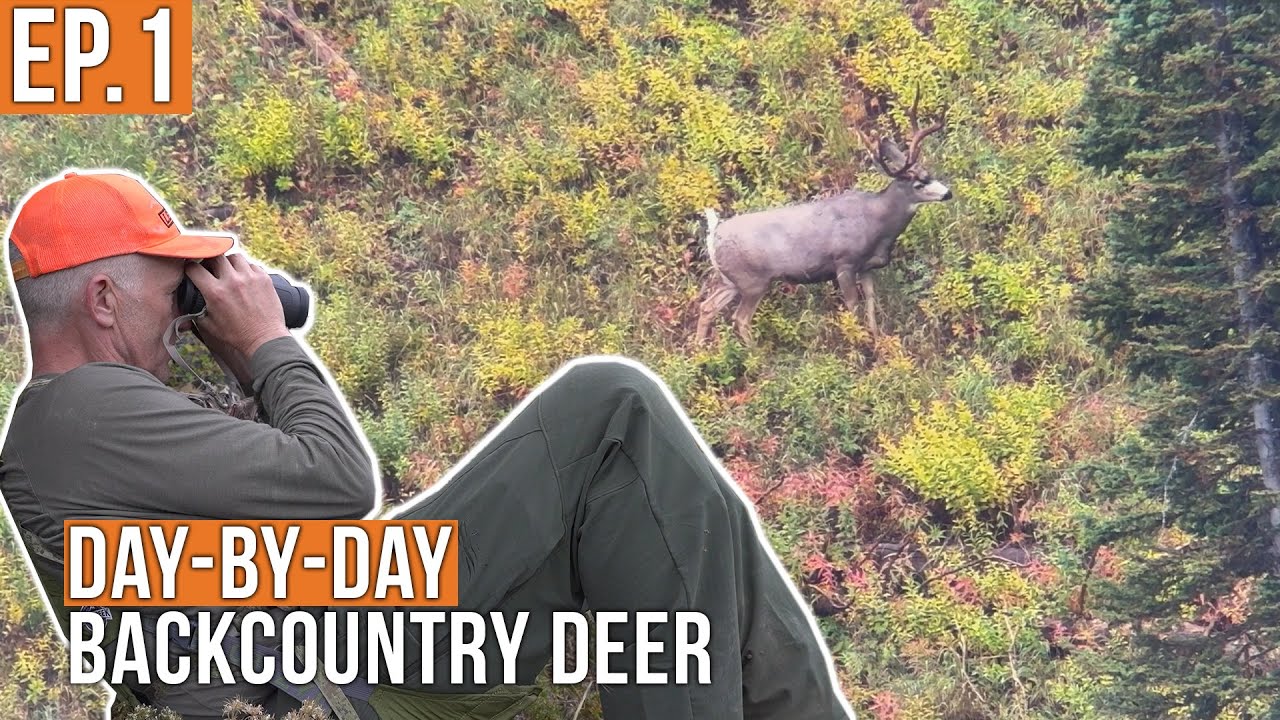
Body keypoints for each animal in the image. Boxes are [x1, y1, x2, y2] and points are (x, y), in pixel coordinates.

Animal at [693, 93, 951, 347]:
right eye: (919, 184)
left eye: (930, 174)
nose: (948, 193)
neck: (877, 224)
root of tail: (714, 234)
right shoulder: (844, 263)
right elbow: (853, 306)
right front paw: (859, 345)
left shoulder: (867, 267)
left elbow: (870, 302)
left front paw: (877, 338)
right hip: (753, 281)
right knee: (740, 318)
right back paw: (755, 354)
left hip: (731, 280)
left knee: (707, 307)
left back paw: (700, 351)